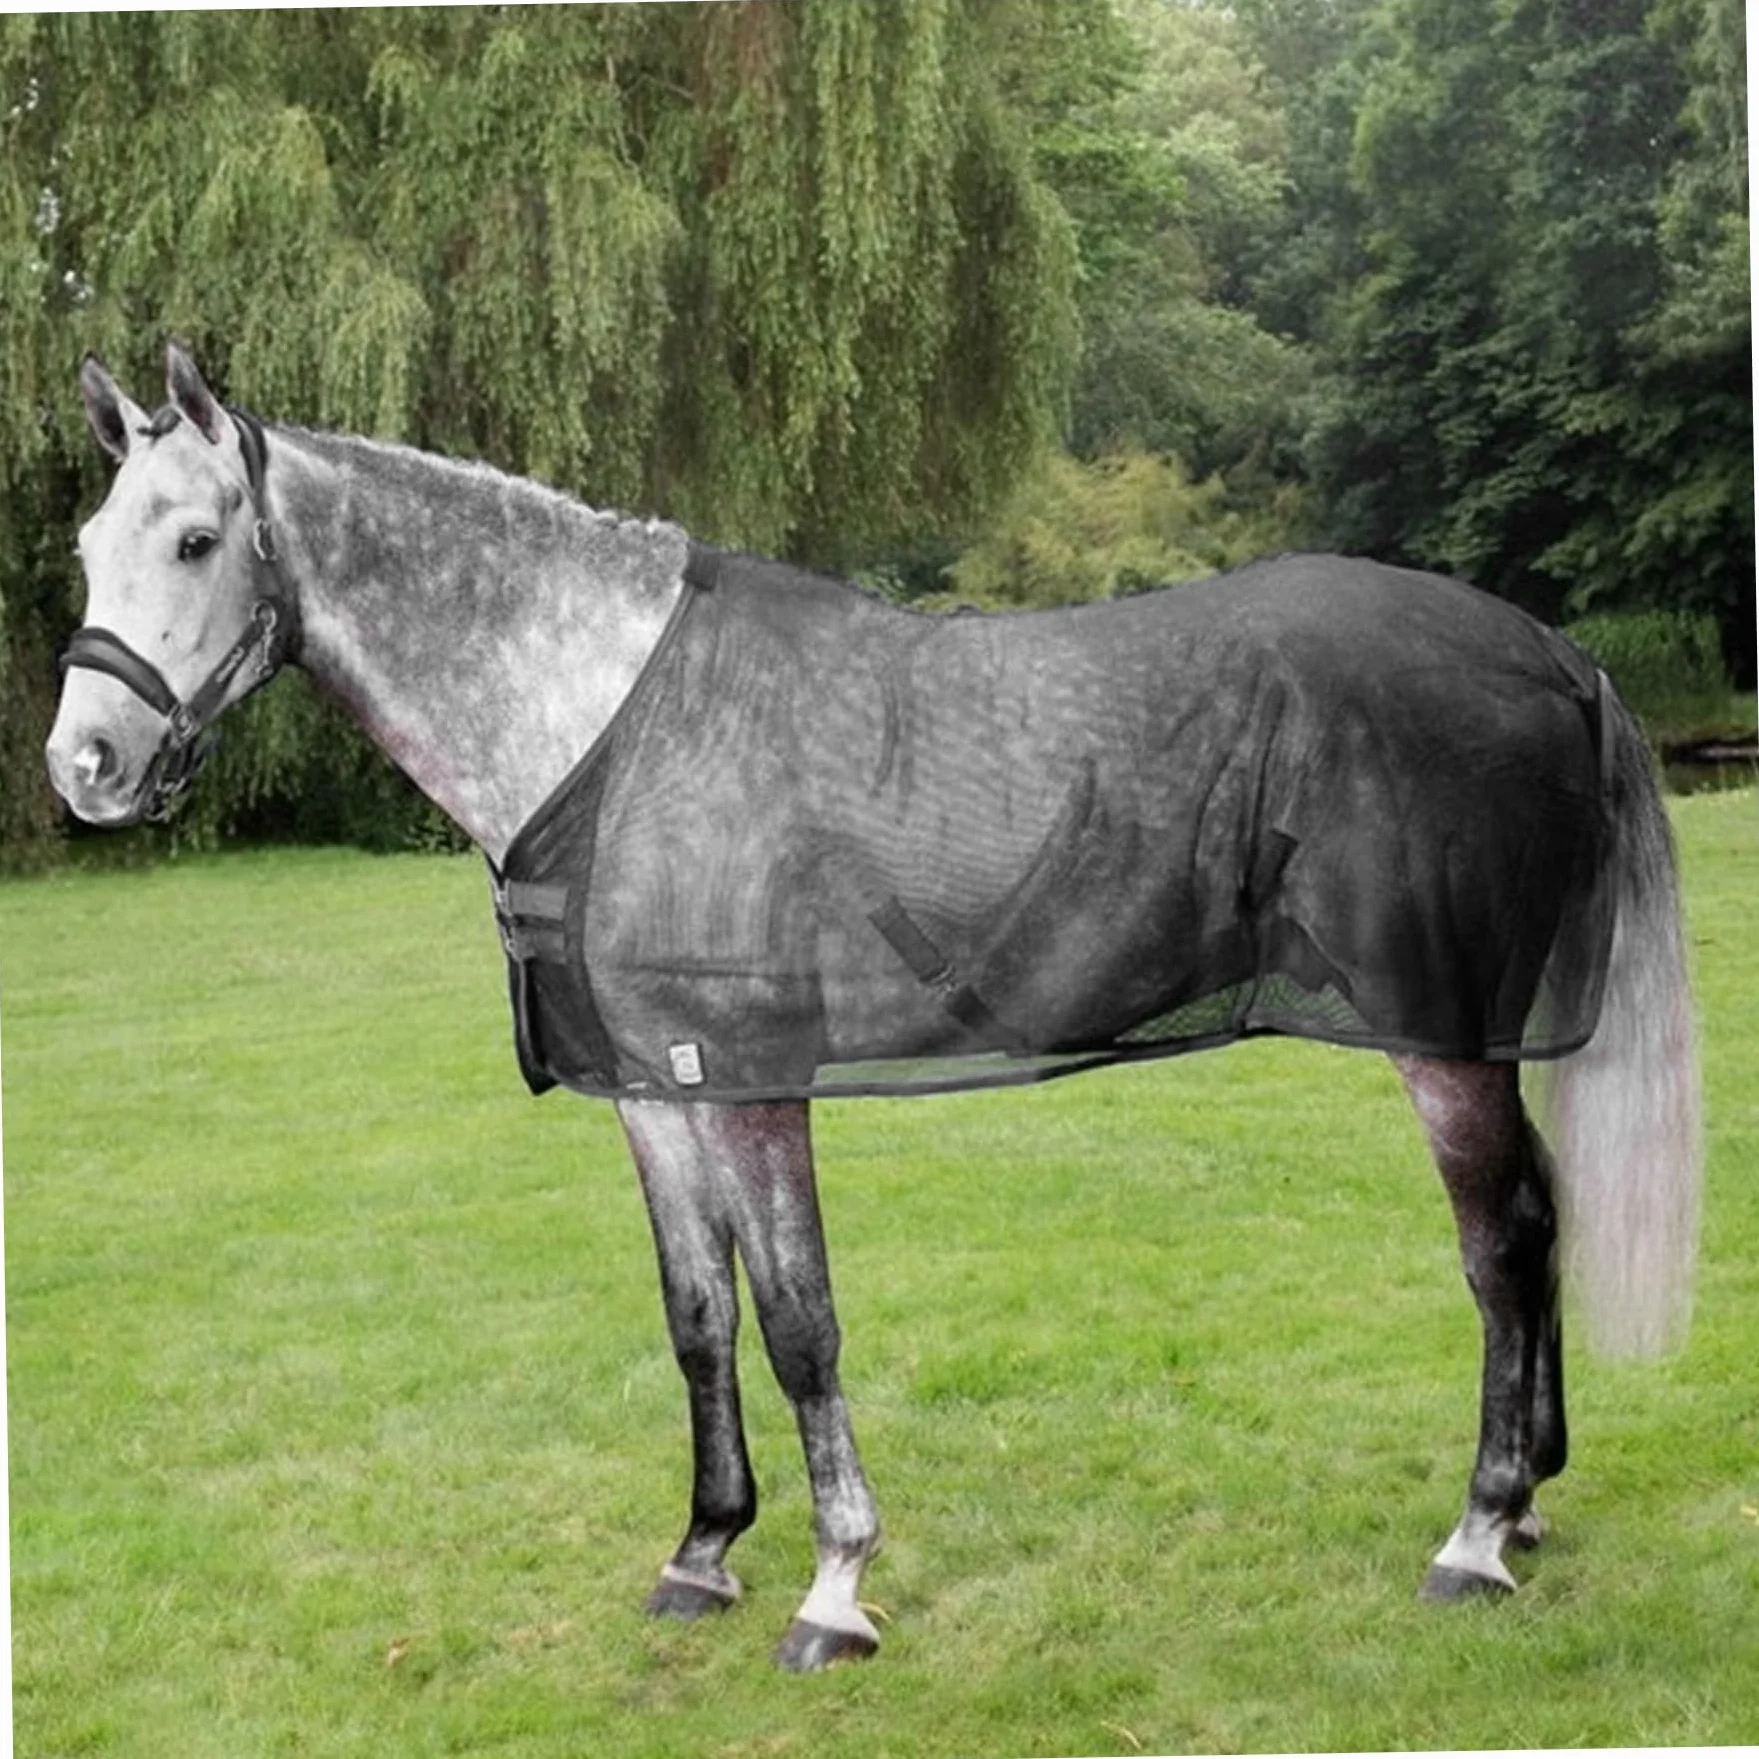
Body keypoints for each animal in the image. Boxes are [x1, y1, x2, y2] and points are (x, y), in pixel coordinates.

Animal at [46, 344, 1701, 1673]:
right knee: (1536, 1222)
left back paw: (1475, 1530)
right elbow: (698, 1319)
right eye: (85, 543)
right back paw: (1527, 1504)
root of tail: (1552, 652)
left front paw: (833, 1585)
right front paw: (701, 1551)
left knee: (1501, 1247)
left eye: (195, 537)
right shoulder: (656, 1089)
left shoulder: (750, 1079)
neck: (613, 725)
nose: (84, 766)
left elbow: (798, 1321)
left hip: (1440, 1038)